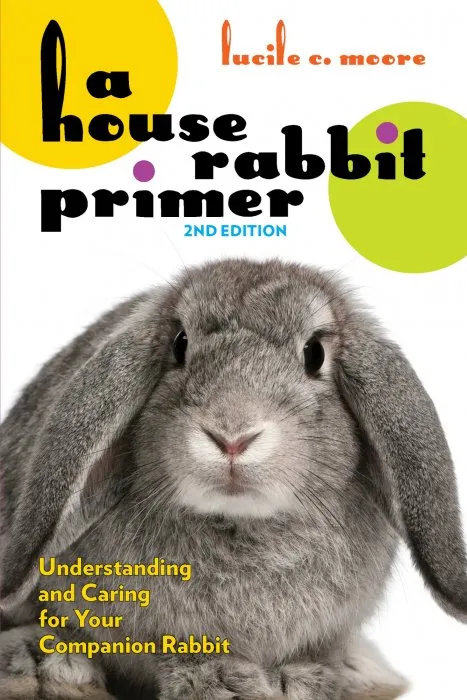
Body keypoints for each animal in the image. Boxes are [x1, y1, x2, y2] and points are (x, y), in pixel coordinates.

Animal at [0, 258, 466, 700]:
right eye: (180, 344)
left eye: (314, 353)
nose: (232, 436)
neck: (242, 522)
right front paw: (222, 682)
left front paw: (300, 680)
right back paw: (48, 669)